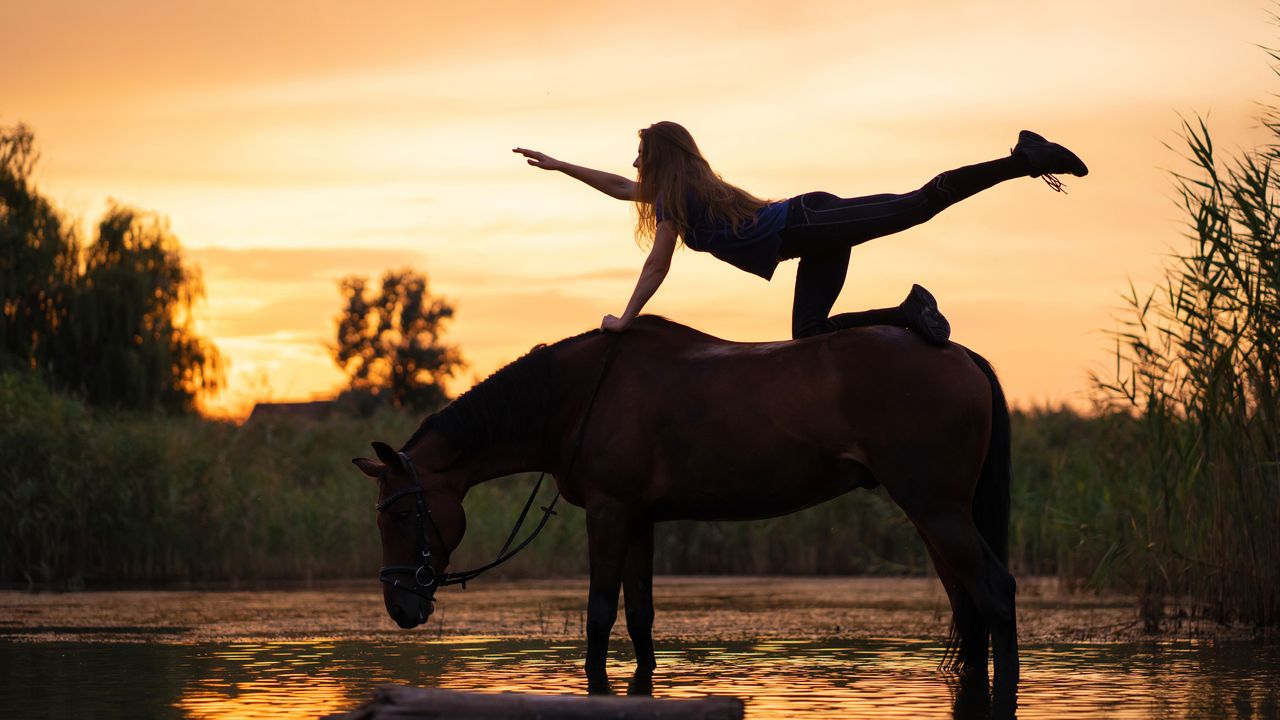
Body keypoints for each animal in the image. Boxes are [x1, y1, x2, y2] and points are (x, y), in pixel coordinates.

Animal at [353, 312, 1018, 696]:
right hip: (936, 516)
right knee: (968, 600)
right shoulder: (640, 519)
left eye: (402, 514)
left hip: (936, 509)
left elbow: (599, 613)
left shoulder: (610, 513)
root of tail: (958, 354)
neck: (576, 395)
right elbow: (641, 618)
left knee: (994, 590)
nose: (400, 607)